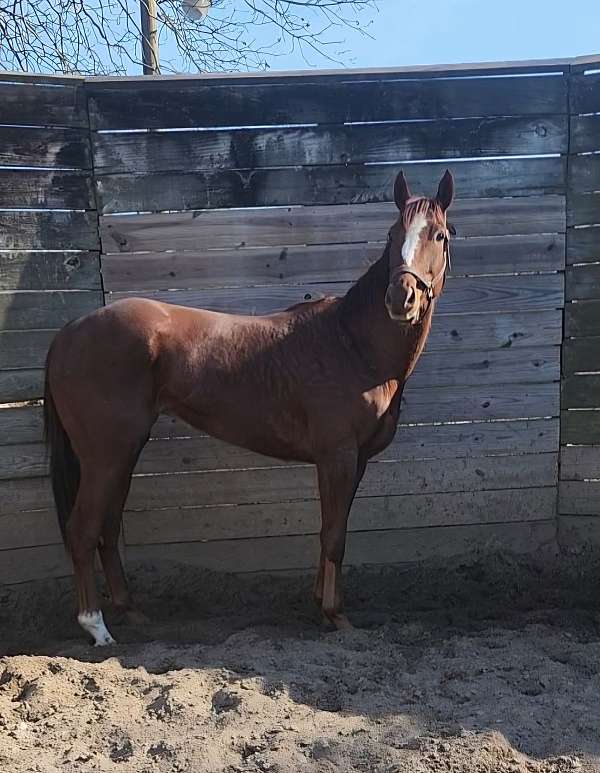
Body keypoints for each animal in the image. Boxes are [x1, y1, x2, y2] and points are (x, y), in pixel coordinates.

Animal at [43, 170, 454, 644]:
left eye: (439, 235)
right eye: (391, 235)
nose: (400, 298)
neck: (352, 345)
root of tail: (69, 331)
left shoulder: (356, 460)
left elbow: (331, 528)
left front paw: (320, 606)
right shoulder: (337, 455)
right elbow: (334, 535)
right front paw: (336, 616)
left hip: (123, 453)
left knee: (107, 529)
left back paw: (131, 612)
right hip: (106, 455)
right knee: (82, 530)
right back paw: (97, 628)